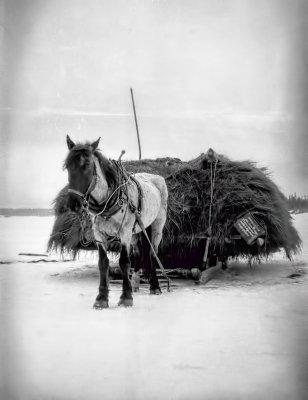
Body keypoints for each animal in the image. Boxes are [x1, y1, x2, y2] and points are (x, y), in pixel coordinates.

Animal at [64, 136, 168, 308]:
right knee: (138, 253)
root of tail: (156, 177)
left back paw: (155, 286)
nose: (73, 203)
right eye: (67, 166)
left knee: (153, 252)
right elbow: (103, 263)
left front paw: (126, 297)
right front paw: (101, 298)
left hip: (157, 225)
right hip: (136, 230)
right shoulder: (99, 234)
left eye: (87, 165)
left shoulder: (124, 232)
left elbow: (124, 262)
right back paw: (135, 283)